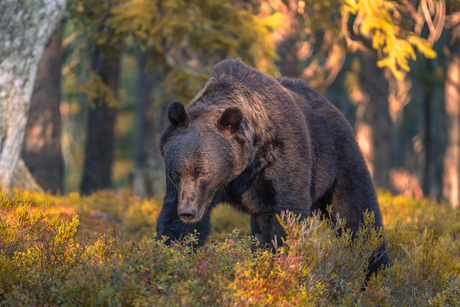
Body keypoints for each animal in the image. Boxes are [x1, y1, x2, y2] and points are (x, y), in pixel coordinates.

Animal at [157, 58, 388, 280]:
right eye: (176, 173)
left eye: (205, 172)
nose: (188, 212)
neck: (241, 168)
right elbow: (176, 225)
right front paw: (174, 262)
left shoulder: (281, 159)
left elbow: (285, 216)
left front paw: (277, 266)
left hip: (337, 160)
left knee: (358, 217)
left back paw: (376, 273)